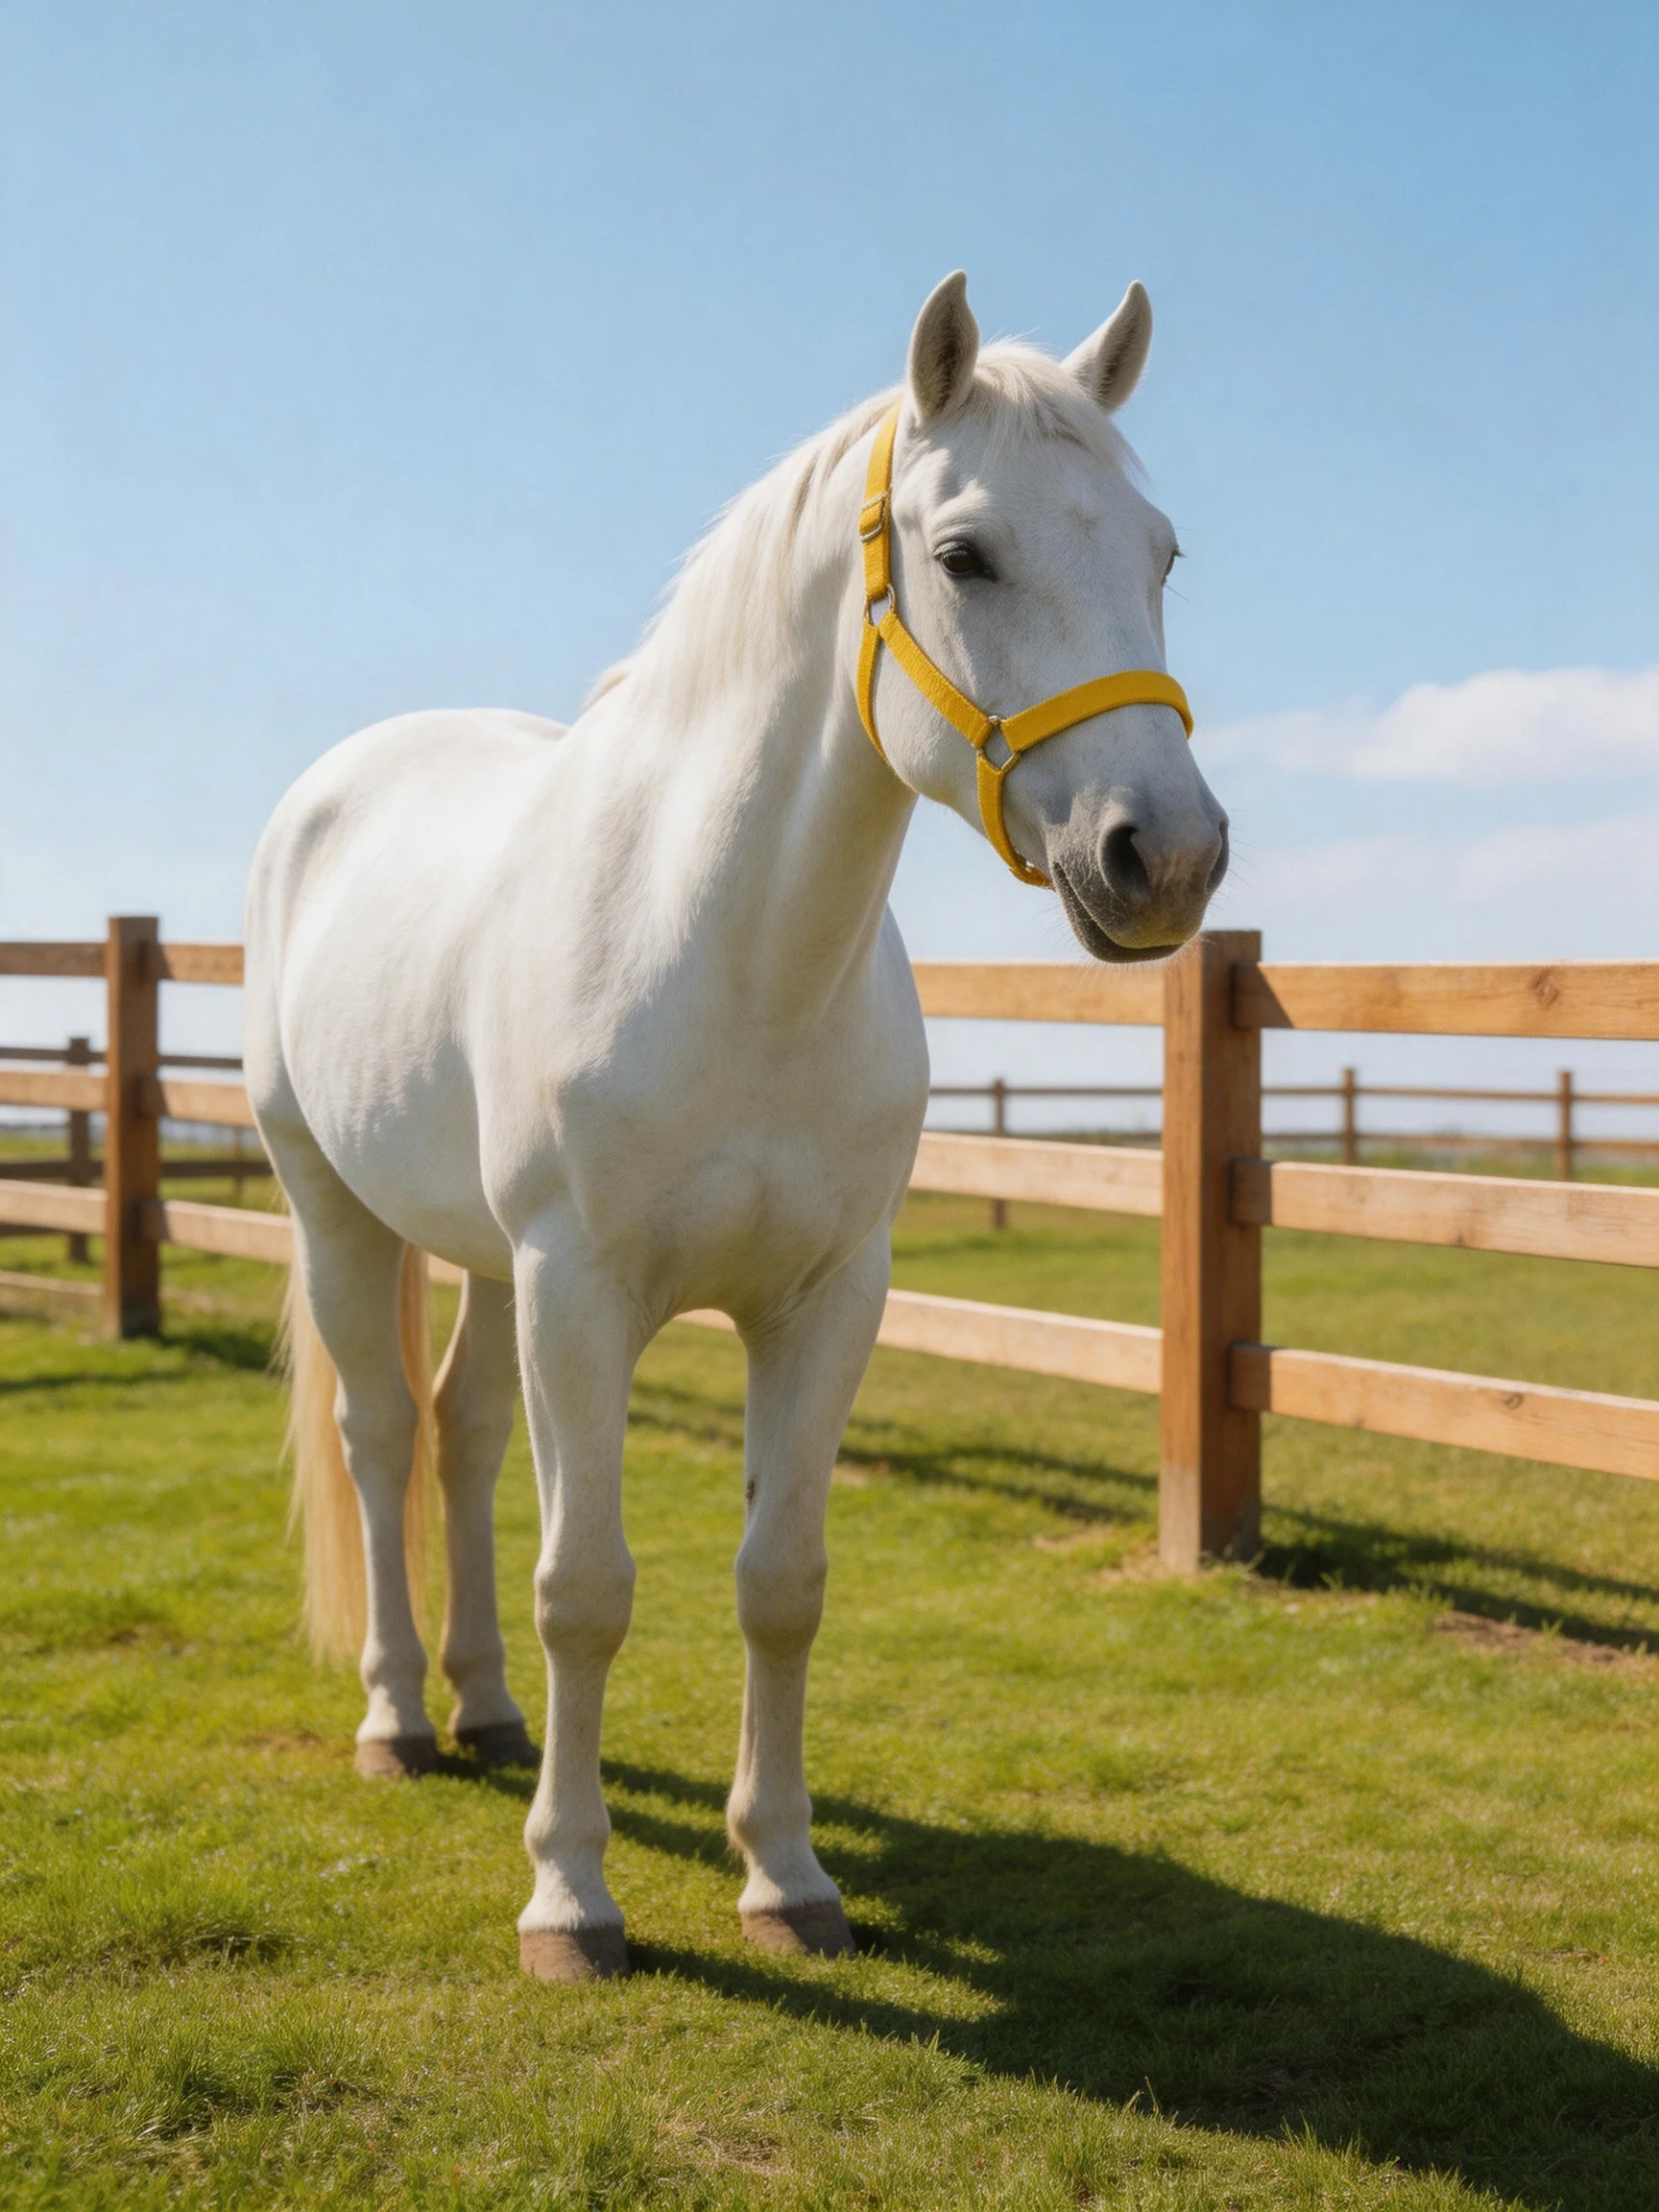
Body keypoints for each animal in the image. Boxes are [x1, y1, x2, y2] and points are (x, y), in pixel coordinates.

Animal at [245, 271, 1229, 1982]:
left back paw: (486, 1711)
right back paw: (399, 1722)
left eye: (1161, 552)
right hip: (337, 1213)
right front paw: (571, 1899)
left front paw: (784, 1875)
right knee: (379, 1440)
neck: (729, 950)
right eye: (965, 554)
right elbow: (589, 1588)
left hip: (484, 1261)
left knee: (463, 1436)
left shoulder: (825, 1298)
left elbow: (783, 1583)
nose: (1162, 857)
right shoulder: (584, 1292)